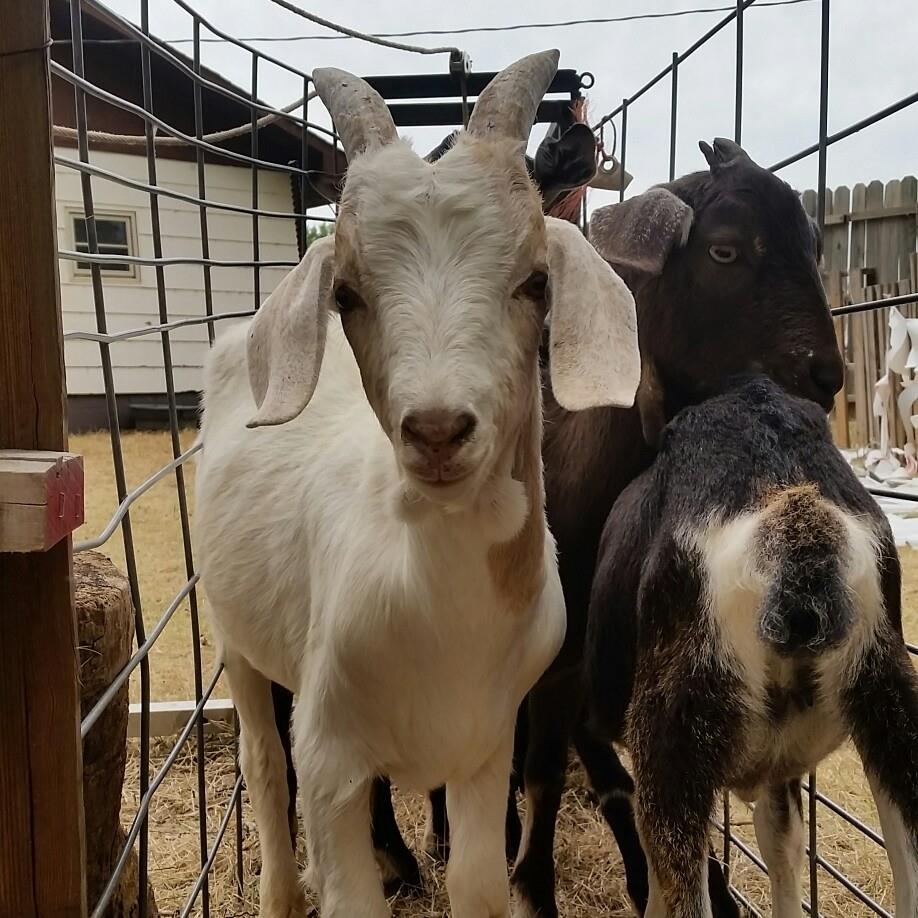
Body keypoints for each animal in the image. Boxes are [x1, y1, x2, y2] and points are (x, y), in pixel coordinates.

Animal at [195, 51, 640, 918]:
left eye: (537, 281)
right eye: (347, 293)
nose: (437, 431)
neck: (443, 614)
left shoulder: (486, 747)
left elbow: (478, 885)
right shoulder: (330, 755)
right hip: (238, 641)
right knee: (263, 764)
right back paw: (280, 893)